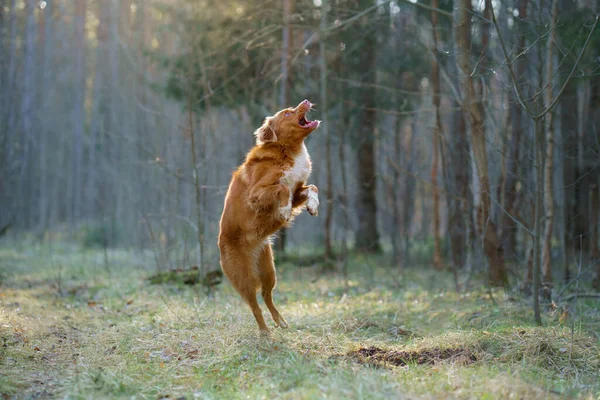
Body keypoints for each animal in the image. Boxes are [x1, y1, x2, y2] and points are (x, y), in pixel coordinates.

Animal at [218, 100, 322, 334]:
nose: (306, 101)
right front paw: (283, 210)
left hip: (269, 270)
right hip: (245, 278)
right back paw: (265, 332)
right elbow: (281, 188)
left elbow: (312, 187)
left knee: (267, 296)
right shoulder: (256, 193)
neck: (287, 149)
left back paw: (280, 321)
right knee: (255, 306)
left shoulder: (297, 190)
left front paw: (313, 205)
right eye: (287, 113)